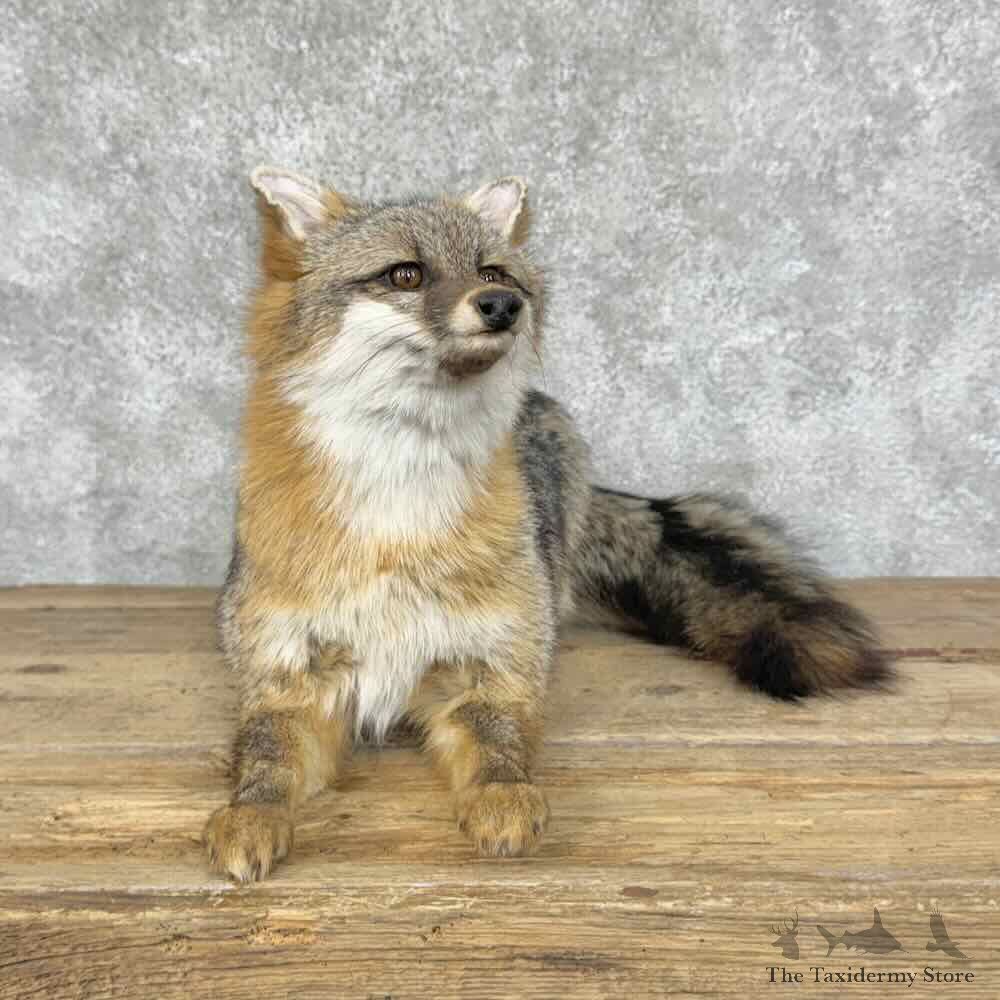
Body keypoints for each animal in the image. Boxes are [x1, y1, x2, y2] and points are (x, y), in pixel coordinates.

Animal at [203, 165, 891, 882]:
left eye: (492, 271)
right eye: (406, 274)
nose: (501, 305)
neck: (400, 513)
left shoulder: (490, 668)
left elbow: (501, 746)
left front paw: (504, 801)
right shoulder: (286, 677)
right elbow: (262, 757)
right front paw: (248, 816)